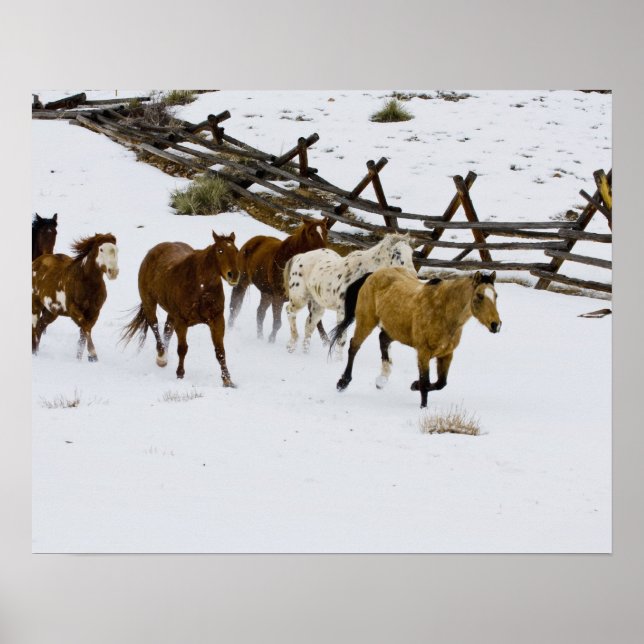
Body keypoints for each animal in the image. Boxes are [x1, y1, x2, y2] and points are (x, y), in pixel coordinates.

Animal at [32, 233, 119, 361]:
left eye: (116, 250)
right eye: (101, 249)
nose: (113, 272)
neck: (86, 282)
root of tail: (36, 262)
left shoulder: (94, 312)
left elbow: (84, 332)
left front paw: (80, 358)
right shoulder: (73, 309)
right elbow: (85, 327)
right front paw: (93, 355)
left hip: (51, 312)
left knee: (40, 327)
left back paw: (36, 352)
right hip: (35, 304)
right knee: (34, 327)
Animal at [121, 231, 240, 386]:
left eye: (236, 251)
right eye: (220, 251)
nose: (234, 275)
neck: (201, 288)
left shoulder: (217, 320)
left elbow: (220, 351)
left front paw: (228, 380)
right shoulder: (182, 321)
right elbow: (182, 349)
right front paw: (180, 374)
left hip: (171, 313)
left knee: (167, 329)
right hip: (149, 303)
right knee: (154, 325)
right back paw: (161, 357)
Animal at [284, 233, 416, 355]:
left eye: (411, 252)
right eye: (397, 252)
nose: (413, 275)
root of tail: (301, 256)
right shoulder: (343, 312)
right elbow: (341, 340)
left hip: (318, 305)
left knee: (309, 325)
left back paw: (304, 351)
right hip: (299, 298)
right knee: (290, 311)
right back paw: (291, 345)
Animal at [329, 268, 502, 408]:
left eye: (496, 295)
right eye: (479, 295)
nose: (496, 325)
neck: (443, 312)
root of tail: (373, 274)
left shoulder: (447, 354)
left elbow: (440, 383)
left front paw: (413, 385)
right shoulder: (423, 353)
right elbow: (426, 382)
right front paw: (422, 406)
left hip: (395, 328)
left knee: (382, 339)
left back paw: (382, 379)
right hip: (366, 321)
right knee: (354, 346)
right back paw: (343, 382)